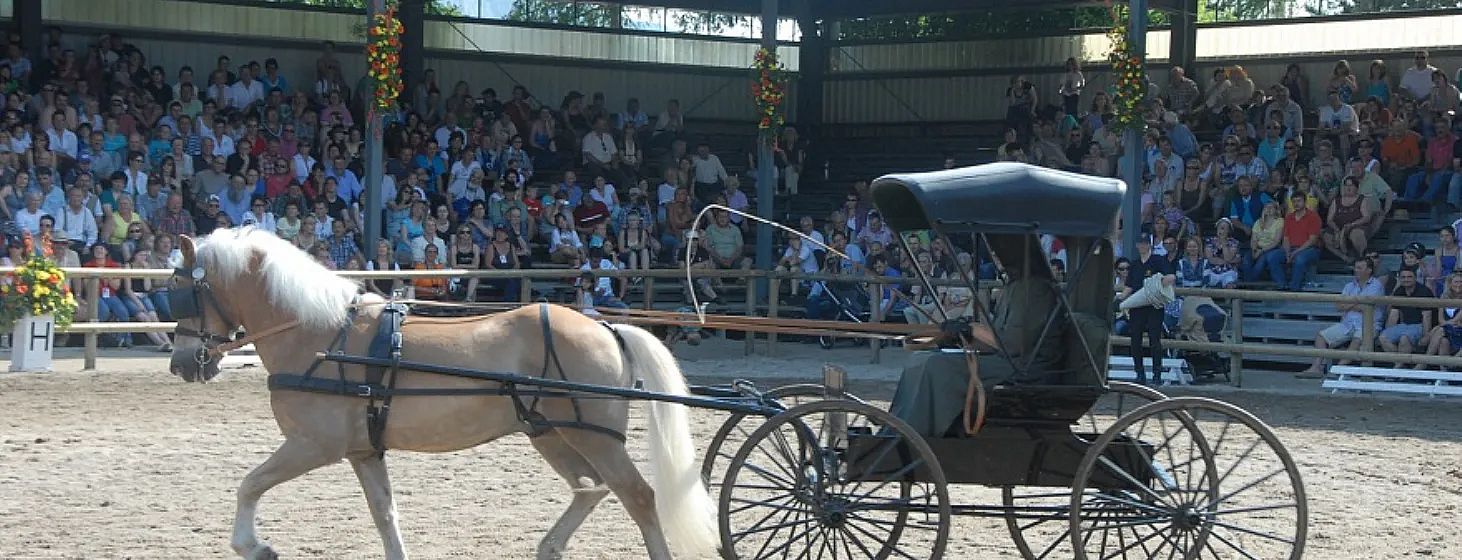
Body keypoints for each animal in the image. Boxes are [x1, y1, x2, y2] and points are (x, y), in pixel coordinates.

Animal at [165, 228, 718, 560]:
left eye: (180, 290)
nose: (182, 364)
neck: (321, 334)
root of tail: (606, 327)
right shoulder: (364, 451)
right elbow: (385, 515)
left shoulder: (313, 446)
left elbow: (249, 485)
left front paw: (254, 546)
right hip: (552, 434)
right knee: (591, 488)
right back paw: (549, 546)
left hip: (595, 437)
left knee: (637, 496)